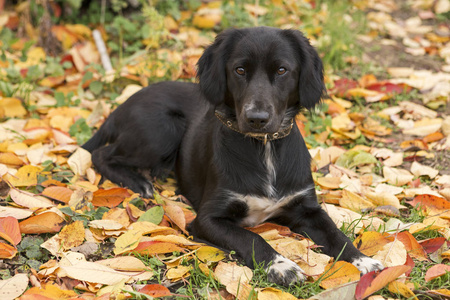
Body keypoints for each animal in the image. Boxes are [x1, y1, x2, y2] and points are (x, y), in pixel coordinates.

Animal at [83, 26, 384, 286]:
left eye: (282, 70)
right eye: (239, 70)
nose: (257, 119)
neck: (264, 148)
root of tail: (121, 105)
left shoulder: (306, 208)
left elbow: (337, 234)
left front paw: (363, 260)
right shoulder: (207, 219)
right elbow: (251, 238)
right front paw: (281, 266)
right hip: (161, 129)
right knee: (101, 154)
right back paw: (139, 182)